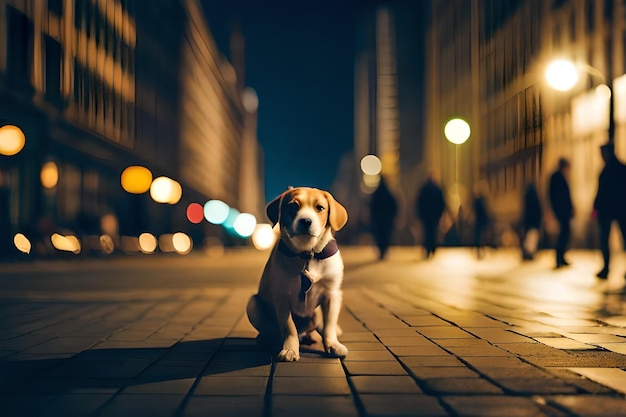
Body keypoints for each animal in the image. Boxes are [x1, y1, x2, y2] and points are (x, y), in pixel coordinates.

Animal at [246, 187, 348, 360]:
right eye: (293, 206)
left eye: (320, 208)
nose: (306, 221)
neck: (307, 253)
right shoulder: (281, 295)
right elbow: (289, 327)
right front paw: (290, 349)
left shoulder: (332, 293)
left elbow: (329, 325)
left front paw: (332, 344)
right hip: (252, 304)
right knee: (274, 331)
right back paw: (267, 339)